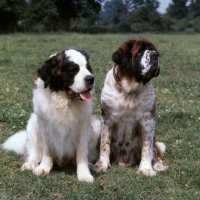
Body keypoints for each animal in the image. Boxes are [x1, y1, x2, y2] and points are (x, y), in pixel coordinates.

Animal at [1, 48, 100, 183]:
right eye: (73, 70)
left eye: (88, 68)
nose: (91, 79)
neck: (63, 100)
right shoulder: (44, 125)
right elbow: (46, 150)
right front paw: (44, 168)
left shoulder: (83, 127)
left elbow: (81, 152)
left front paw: (84, 173)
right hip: (32, 124)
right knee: (34, 153)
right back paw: (30, 164)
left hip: (96, 127)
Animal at [90, 37, 167, 175]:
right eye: (140, 52)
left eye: (153, 50)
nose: (155, 55)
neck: (129, 90)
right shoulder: (106, 119)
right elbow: (105, 144)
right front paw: (101, 165)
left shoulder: (148, 120)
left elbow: (147, 147)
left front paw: (146, 169)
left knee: (154, 153)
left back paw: (158, 165)